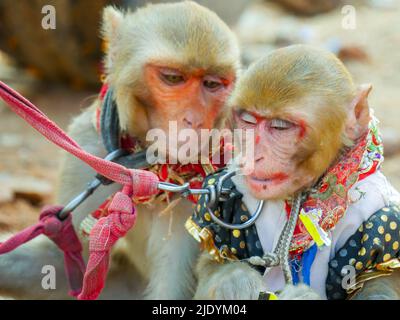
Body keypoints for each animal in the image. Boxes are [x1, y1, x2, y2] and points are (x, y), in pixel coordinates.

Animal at [0, 1, 239, 300]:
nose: (193, 120)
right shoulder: (90, 152)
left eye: (212, 84)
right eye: (173, 78)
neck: (148, 171)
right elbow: (61, 262)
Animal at [187, 45, 400, 300]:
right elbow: (213, 262)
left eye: (280, 126)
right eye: (248, 120)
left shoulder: (381, 216)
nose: (253, 154)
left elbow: (377, 283)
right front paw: (236, 281)